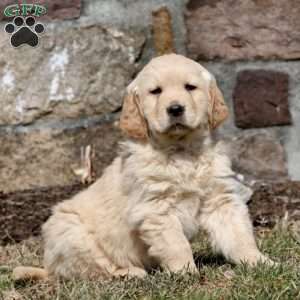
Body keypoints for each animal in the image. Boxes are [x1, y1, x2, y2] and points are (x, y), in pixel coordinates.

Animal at [12, 54, 274, 282]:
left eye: (190, 87)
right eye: (156, 91)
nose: (175, 109)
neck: (182, 151)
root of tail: (49, 268)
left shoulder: (220, 200)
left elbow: (239, 235)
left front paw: (259, 262)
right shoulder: (156, 209)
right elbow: (176, 243)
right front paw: (185, 272)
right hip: (70, 233)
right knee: (93, 269)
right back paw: (130, 273)